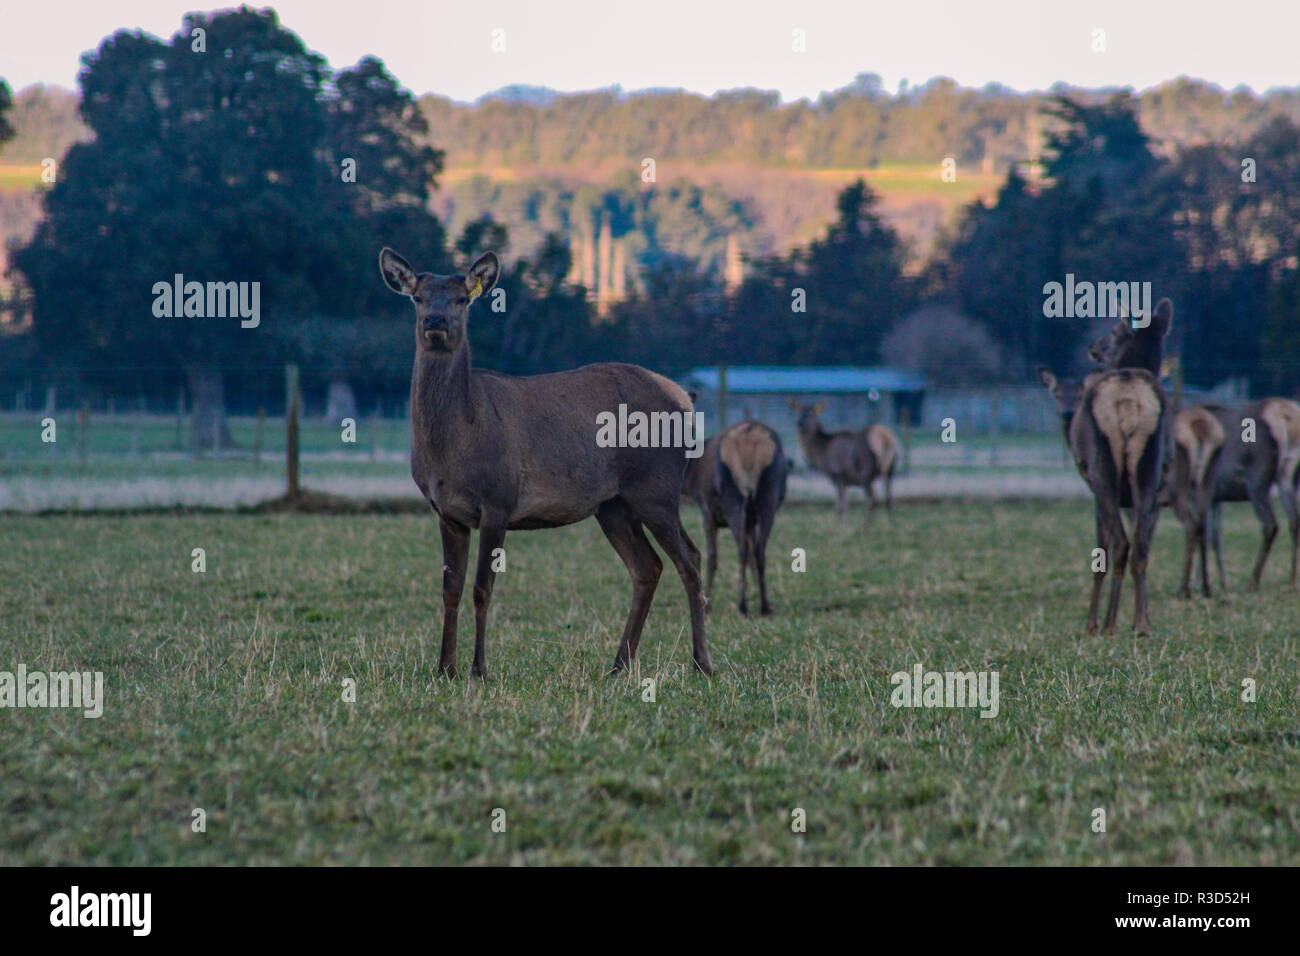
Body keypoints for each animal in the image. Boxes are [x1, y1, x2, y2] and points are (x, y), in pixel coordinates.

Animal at [379, 247, 717, 681]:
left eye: (462, 299)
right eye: (418, 298)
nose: (435, 322)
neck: (454, 444)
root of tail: (684, 399)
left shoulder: (498, 500)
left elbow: (482, 588)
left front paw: (480, 669)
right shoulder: (447, 512)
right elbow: (449, 588)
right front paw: (444, 668)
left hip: (657, 487)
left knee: (689, 558)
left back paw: (701, 663)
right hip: (613, 505)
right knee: (647, 567)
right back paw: (619, 664)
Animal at [681, 421, 790, 616]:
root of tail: (749, 439)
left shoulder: (707, 508)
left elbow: (712, 556)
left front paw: (707, 606)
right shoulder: (751, 522)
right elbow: (753, 557)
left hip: (732, 497)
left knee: (741, 551)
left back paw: (742, 605)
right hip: (769, 496)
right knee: (759, 551)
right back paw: (764, 605)